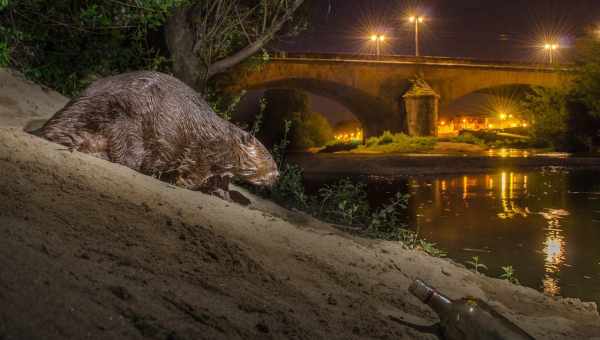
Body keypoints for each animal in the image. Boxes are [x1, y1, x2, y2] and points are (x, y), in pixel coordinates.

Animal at [36, 71, 280, 199]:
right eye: (269, 158)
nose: (277, 175)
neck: (222, 134)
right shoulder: (206, 151)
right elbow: (195, 172)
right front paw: (182, 183)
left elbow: (221, 180)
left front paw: (223, 194)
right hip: (128, 123)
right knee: (123, 155)